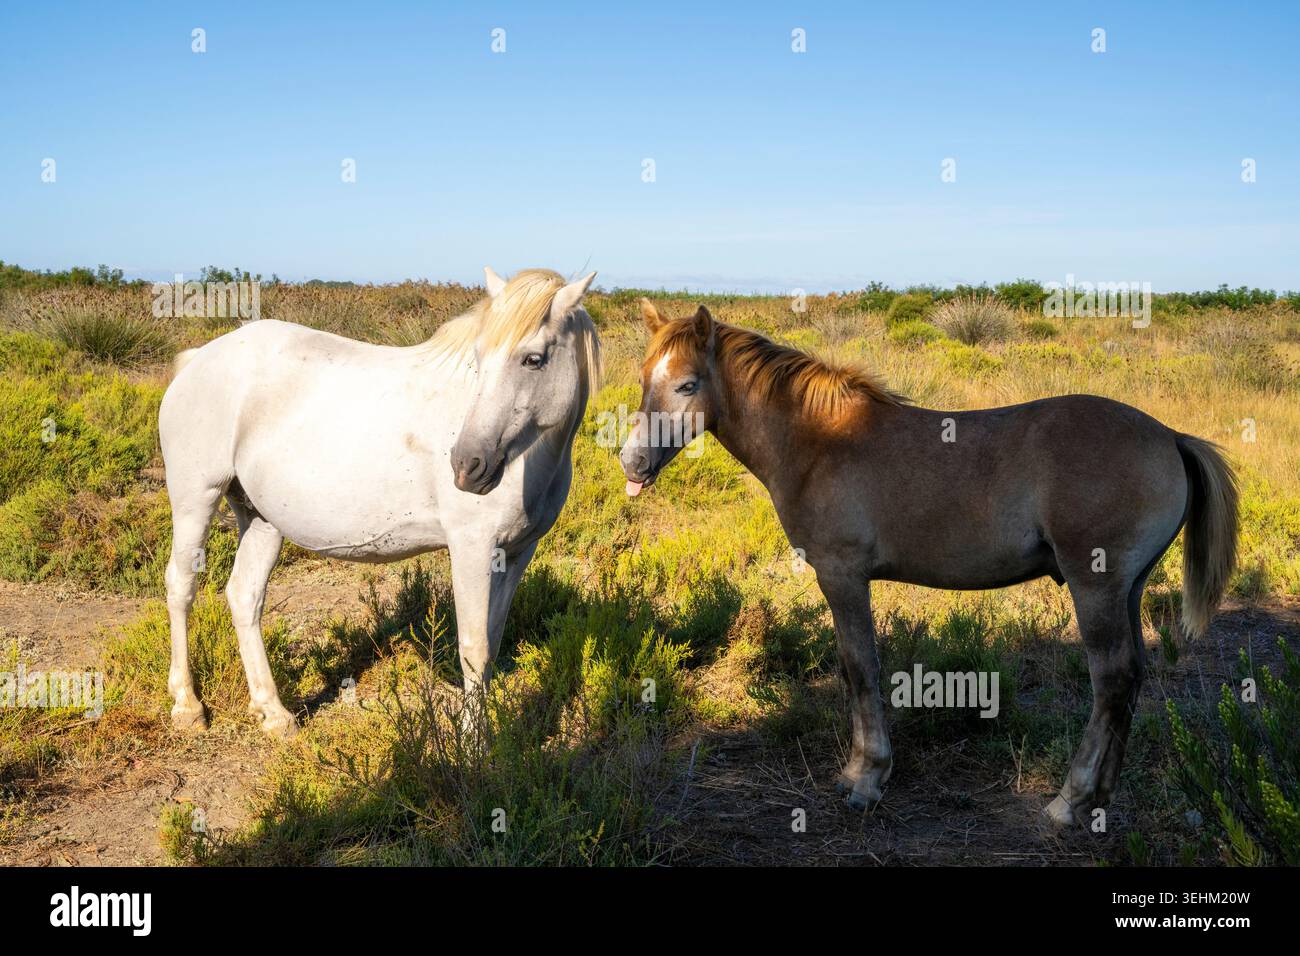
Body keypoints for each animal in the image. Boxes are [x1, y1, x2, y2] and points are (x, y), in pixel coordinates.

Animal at [159, 267, 601, 737]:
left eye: (533, 359)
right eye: (479, 359)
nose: (467, 465)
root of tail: (198, 360)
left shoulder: (517, 552)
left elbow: (493, 643)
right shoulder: (473, 549)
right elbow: (474, 648)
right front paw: (472, 743)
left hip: (261, 520)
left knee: (245, 595)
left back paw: (274, 714)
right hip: (195, 499)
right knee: (181, 586)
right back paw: (187, 706)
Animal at [619, 299, 1237, 825]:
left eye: (688, 384)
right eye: (644, 379)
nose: (632, 461)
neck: (819, 442)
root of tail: (1169, 436)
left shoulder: (842, 576)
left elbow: (860, 667)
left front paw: (868, 778)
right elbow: (851, 669)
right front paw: (855, 771)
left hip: (1096, 588)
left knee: (1110, 681)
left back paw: (1069, 801)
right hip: (1127, 590)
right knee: (1131, 679)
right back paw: (1101, 798)